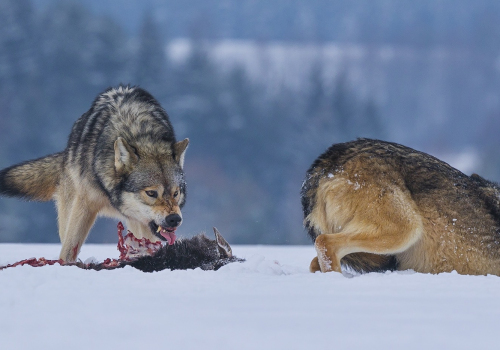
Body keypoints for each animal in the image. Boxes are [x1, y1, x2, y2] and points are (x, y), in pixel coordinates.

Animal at [0, 85, 189, 262]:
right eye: (151, 193)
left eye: (176, 193)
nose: (174, 219)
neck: (139, 133)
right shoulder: (85, 205)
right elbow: (69, 249)